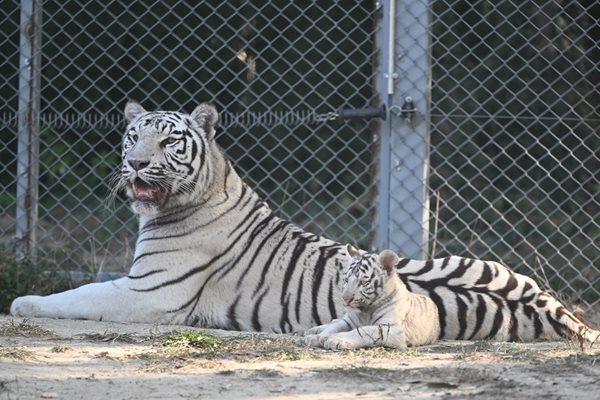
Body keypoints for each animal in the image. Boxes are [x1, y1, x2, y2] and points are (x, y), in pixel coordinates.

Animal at [308, 242, 438, 348]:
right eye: (346, 280)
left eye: (363, 282)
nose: (345, 299)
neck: (366, 310)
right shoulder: (348, 321)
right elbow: (334, 327)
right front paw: (317, 337)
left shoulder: (391, 327)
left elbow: (362, 331)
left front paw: (335, 339)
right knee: (334, 321)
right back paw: (313, 331)